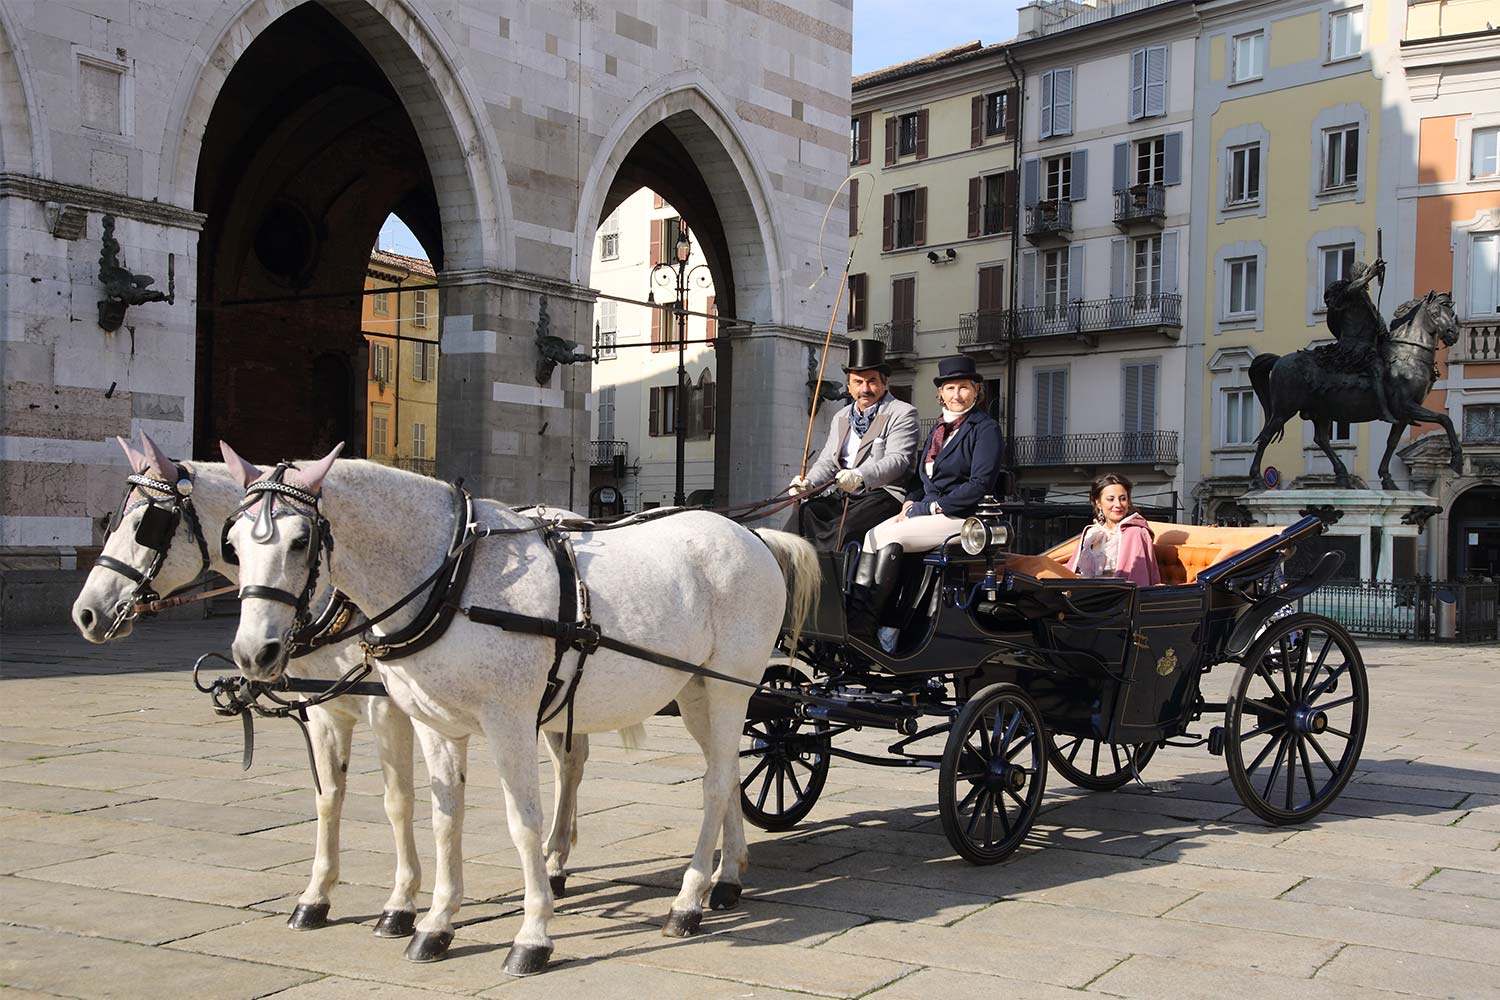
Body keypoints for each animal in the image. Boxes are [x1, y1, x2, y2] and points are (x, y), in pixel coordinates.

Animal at [70, 431, 594, 947]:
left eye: (147, 525)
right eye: (232, 544)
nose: (86, 614)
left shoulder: (391, 709)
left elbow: (399, 800)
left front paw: (400, 905)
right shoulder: (326, 708)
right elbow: (330, 796)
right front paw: (316, 896)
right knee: (568, 764)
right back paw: (555, 861)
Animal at [219, 446, 822, 977]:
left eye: (301, 541)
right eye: (233, 544)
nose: (253, 653)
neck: (451, 578)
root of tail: (749, 533)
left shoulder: (508, 722)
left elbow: (523, 823)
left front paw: (532, 936)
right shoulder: (435, 724)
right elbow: (444, 817)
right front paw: (435, 923)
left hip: (728, 688)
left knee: (715, 782)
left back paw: (688, 900)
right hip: (696, 690)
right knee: (725, 774)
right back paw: (727, 878)